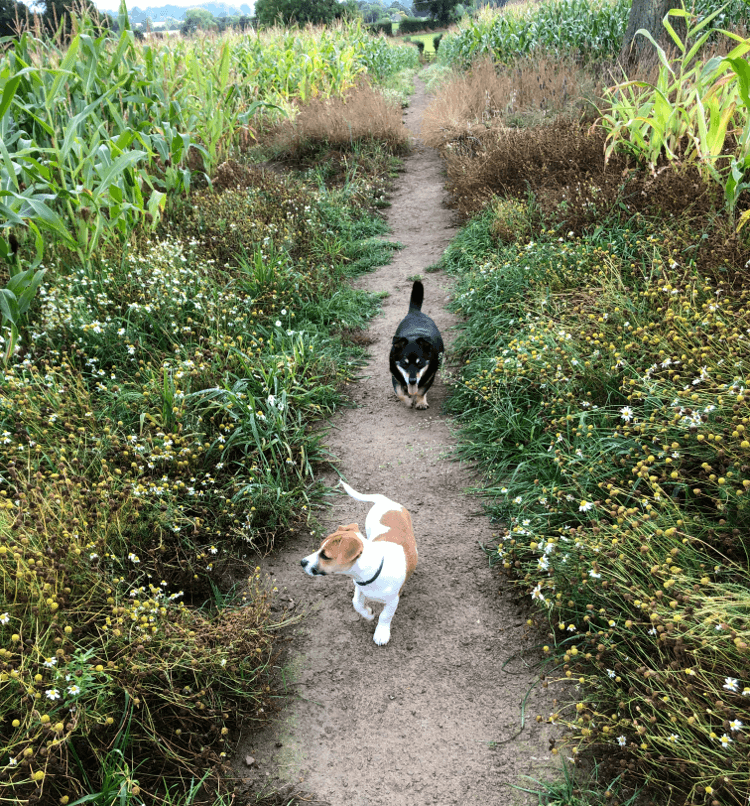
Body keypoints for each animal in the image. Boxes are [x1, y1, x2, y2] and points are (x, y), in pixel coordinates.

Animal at [300, 482, 418, 648]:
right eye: (319, 548)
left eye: (325, 555)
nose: (302, 562)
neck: (375, 570)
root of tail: (386, 501)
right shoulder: (359, 587)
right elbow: (356, 603)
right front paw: (368, 614)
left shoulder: (393, 600)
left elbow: (385, 615)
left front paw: (381, 632)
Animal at [390, 282, 444, 410]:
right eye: (405, 363)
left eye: (420, 363)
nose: (413, 381)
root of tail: (415, 312)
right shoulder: (395, 375)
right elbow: (399, 393)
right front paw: (408, 401)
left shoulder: (430, 376)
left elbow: (421, 391)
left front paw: (420, 402)